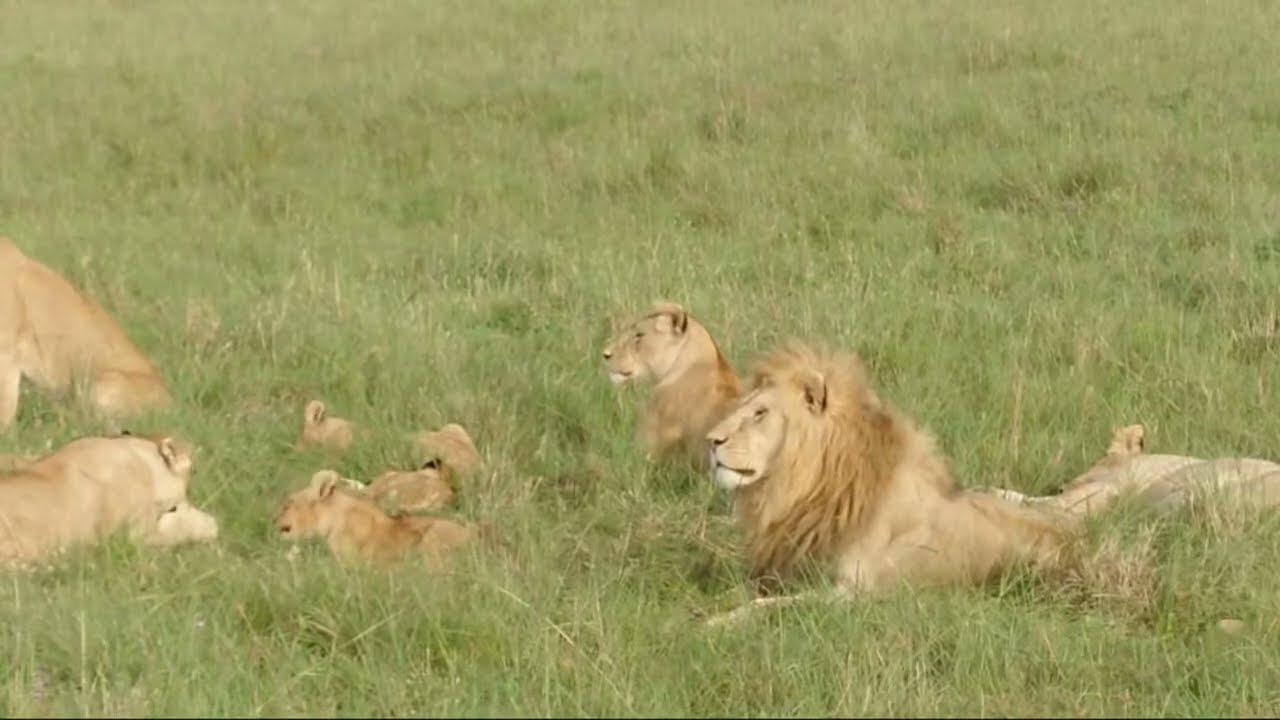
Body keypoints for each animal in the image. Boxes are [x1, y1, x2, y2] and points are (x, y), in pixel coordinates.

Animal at [701, 342, 1072, 627]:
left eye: (760, 413)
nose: (711, 441)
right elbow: (752, 591)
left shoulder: (853, 594)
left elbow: (775, 605)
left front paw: (717, 620)